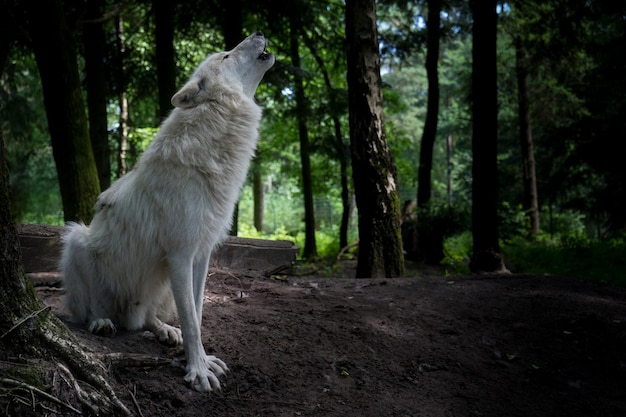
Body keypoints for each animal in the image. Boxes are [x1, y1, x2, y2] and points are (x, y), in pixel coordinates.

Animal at [59, 31, 272, 390]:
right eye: (227, 56)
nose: (257, 33)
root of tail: (126, 312)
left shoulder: (201, 256)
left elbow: (196, 316)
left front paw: (201, 359)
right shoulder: (180, 255)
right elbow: (192, 322)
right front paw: (198, 371)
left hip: (158, 286)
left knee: (145, 318)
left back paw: (163, 330)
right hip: (77, 239)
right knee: (90, 309)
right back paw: (102, 321)